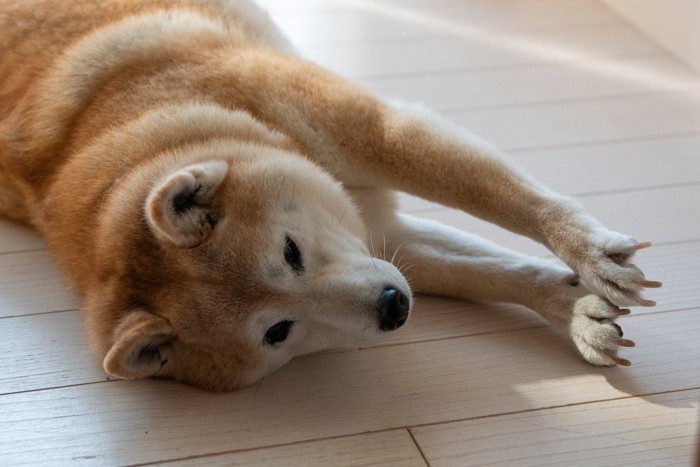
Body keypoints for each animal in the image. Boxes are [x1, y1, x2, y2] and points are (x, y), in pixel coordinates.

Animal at [0, 0, 660, 392]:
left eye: (290, 251)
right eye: (277, 332)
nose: (394, 307)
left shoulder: (382, 135)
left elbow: (507, 200)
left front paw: (590, 256)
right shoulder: (385, 241)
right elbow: (494, 272)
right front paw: (574, 309)